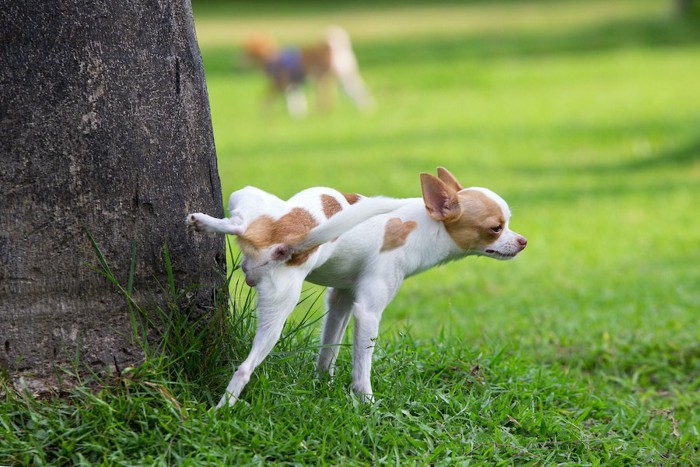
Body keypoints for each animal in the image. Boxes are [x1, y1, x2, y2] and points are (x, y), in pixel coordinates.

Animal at [186, 168, 524, 410]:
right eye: (496, 228)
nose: (523, 241)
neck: (424, 225)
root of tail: (289, 240)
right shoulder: (368, 312)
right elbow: (363, 367)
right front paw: (367, 404)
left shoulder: (341, 300)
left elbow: (329, 348)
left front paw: (322, 383)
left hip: (264, 257)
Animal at [243, 26, 374, 118]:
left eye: (246, 50)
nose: (239, 59)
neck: (271, 58)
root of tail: (335, 48)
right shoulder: (293, 85)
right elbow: (295, 101)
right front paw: (299, 114)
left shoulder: (280, 83)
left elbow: (268, 99)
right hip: (345, 77)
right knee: (358, 91)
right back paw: (366, 108)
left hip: (321, 78)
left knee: (328, 99)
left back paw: (324, 111)